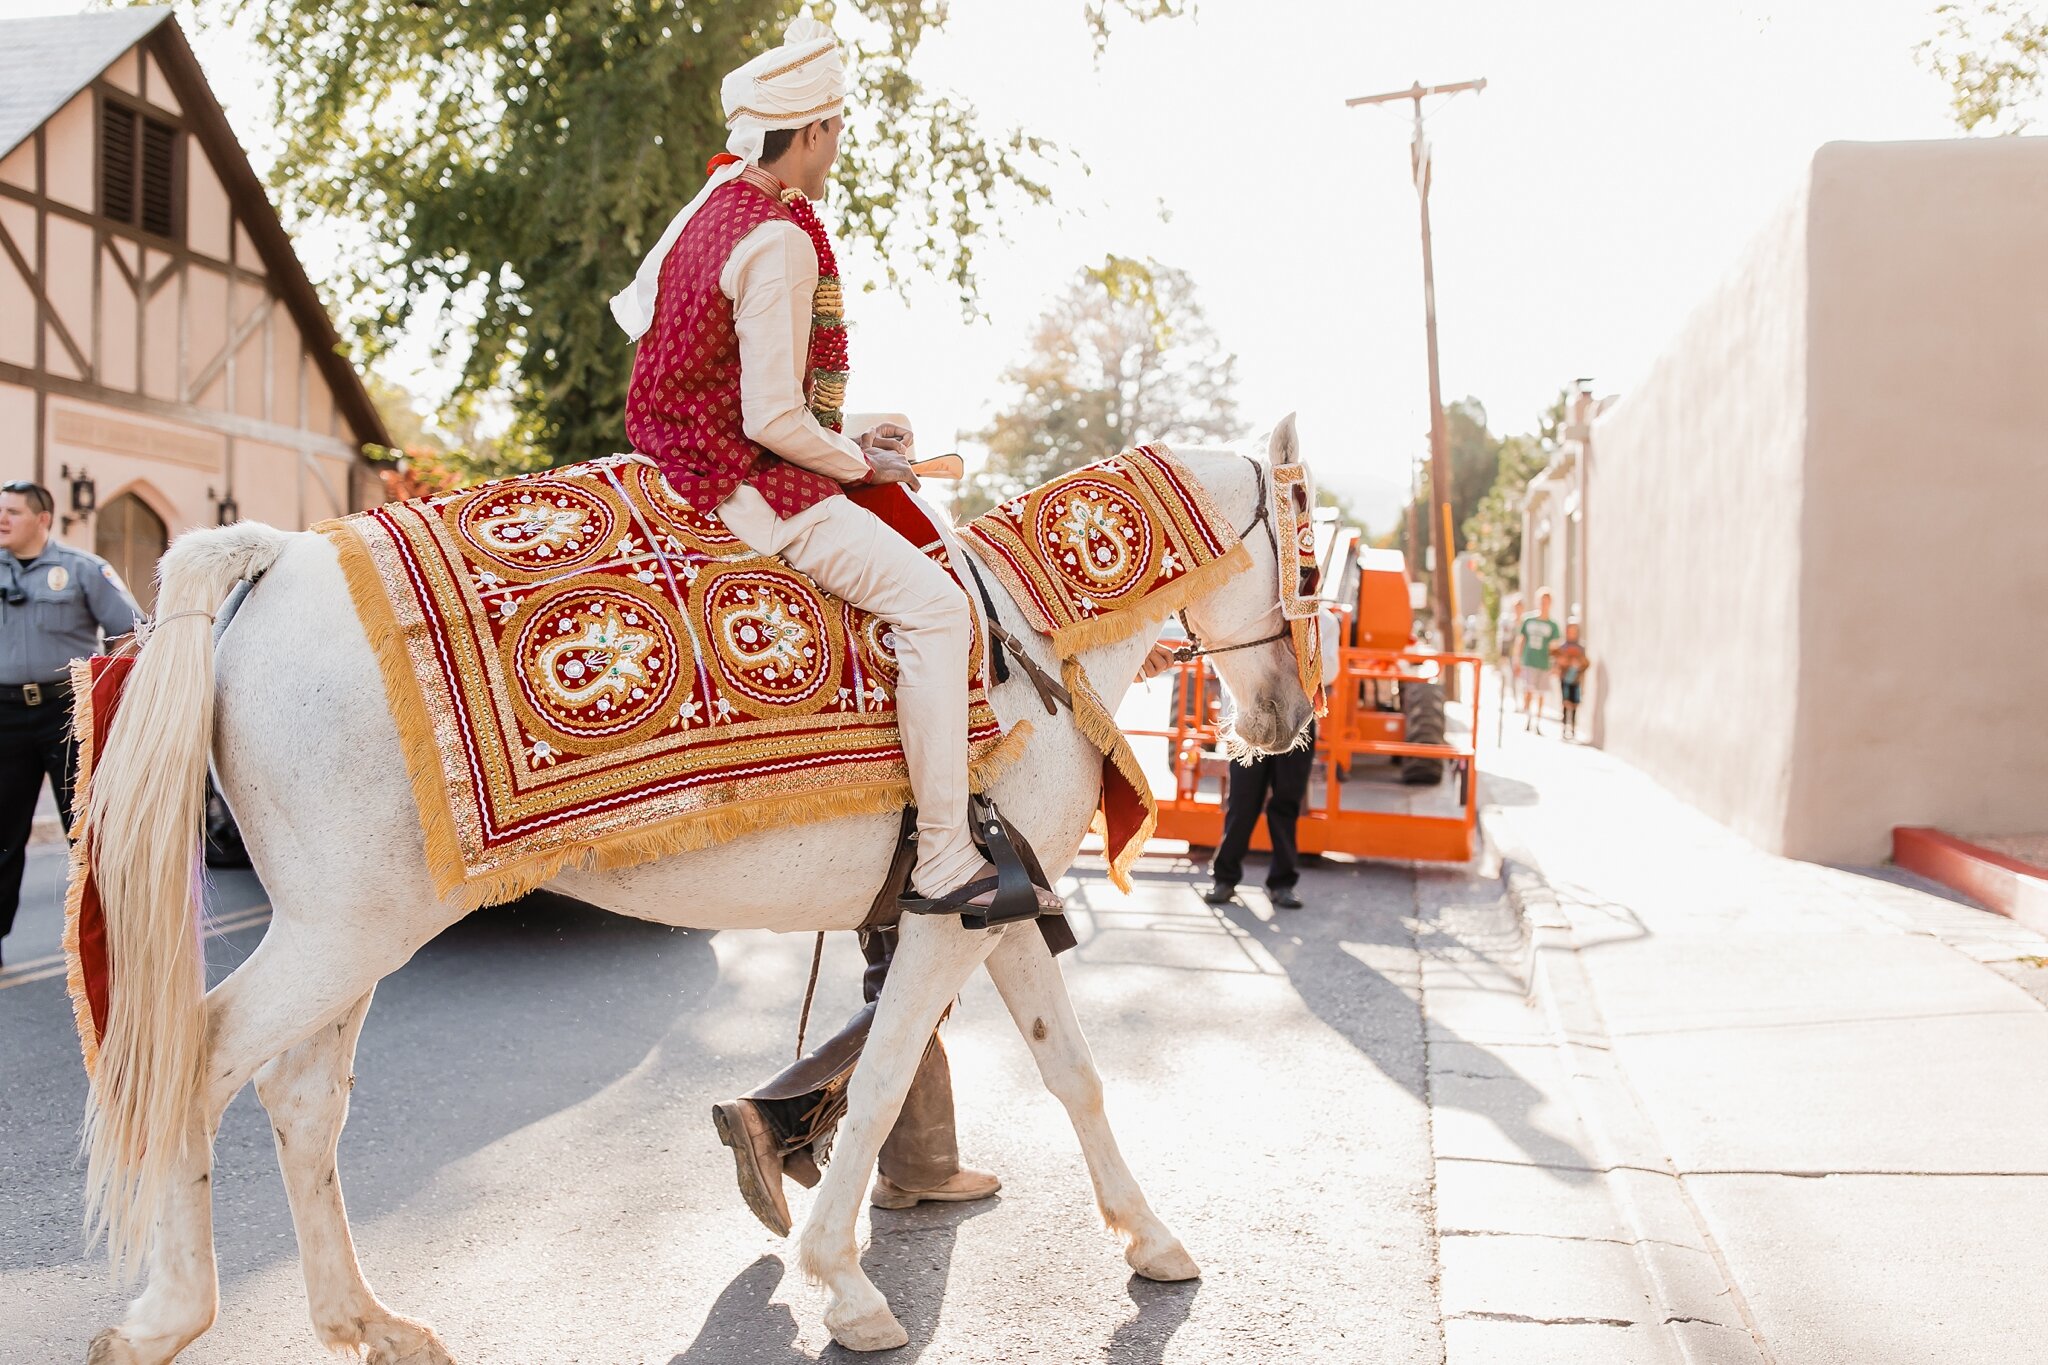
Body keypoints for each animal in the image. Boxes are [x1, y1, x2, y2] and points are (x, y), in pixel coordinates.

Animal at [75, 421, 1310, 1358]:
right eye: (1306, 552)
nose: (1289, 720)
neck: (1030, 637)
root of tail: (274, 559)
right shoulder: (944, 921)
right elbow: (884, 1077)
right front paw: (843, 1282)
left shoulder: (996, 918)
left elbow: (1074, 1076)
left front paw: (1150, 1239)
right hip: (342, 929)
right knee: (194, 1058)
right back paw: (167, 1317)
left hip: (360, 927)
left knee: (300, 1097)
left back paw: (362, 1319)